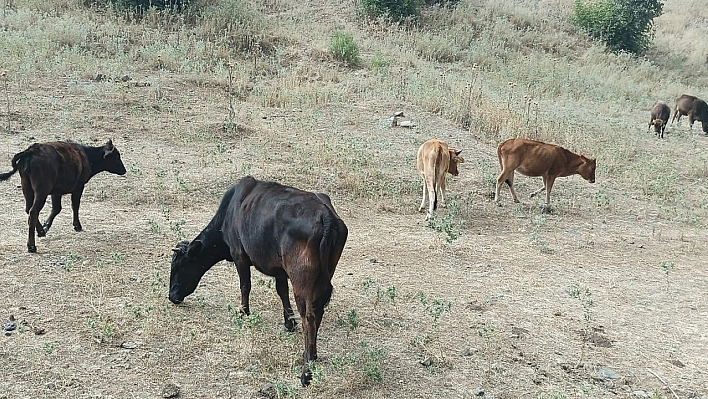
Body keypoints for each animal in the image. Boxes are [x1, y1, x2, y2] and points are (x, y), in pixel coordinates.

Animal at [170, 176, 350, 388]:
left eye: (179, 265)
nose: (172, 295)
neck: (230, 211)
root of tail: (325, 215)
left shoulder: (239, 255)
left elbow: (245, 285)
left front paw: (244, 312)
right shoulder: (279, 270)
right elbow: (281, 291)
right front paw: (289, 322)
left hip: (301, 280)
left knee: (310, 318)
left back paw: (306, 372)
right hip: (322, 277)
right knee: (318, 310)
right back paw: (311, 355)